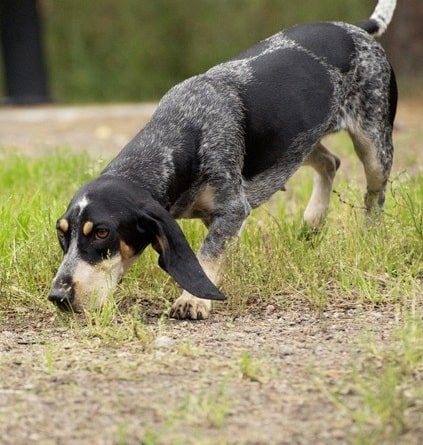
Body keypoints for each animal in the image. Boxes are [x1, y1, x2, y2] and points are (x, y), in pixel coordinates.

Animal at [49, 0, 398, 320]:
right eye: (62, 233)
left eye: (102, 233)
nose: (58, 297)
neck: (180, 133)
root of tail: (356, 28)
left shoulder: (232, 209)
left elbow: (207, 255)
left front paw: (192, 300)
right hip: (299, 141)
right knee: (330, 162)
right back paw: (312, 220)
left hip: (373, 146)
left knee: (374, 195)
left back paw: (369, 236)